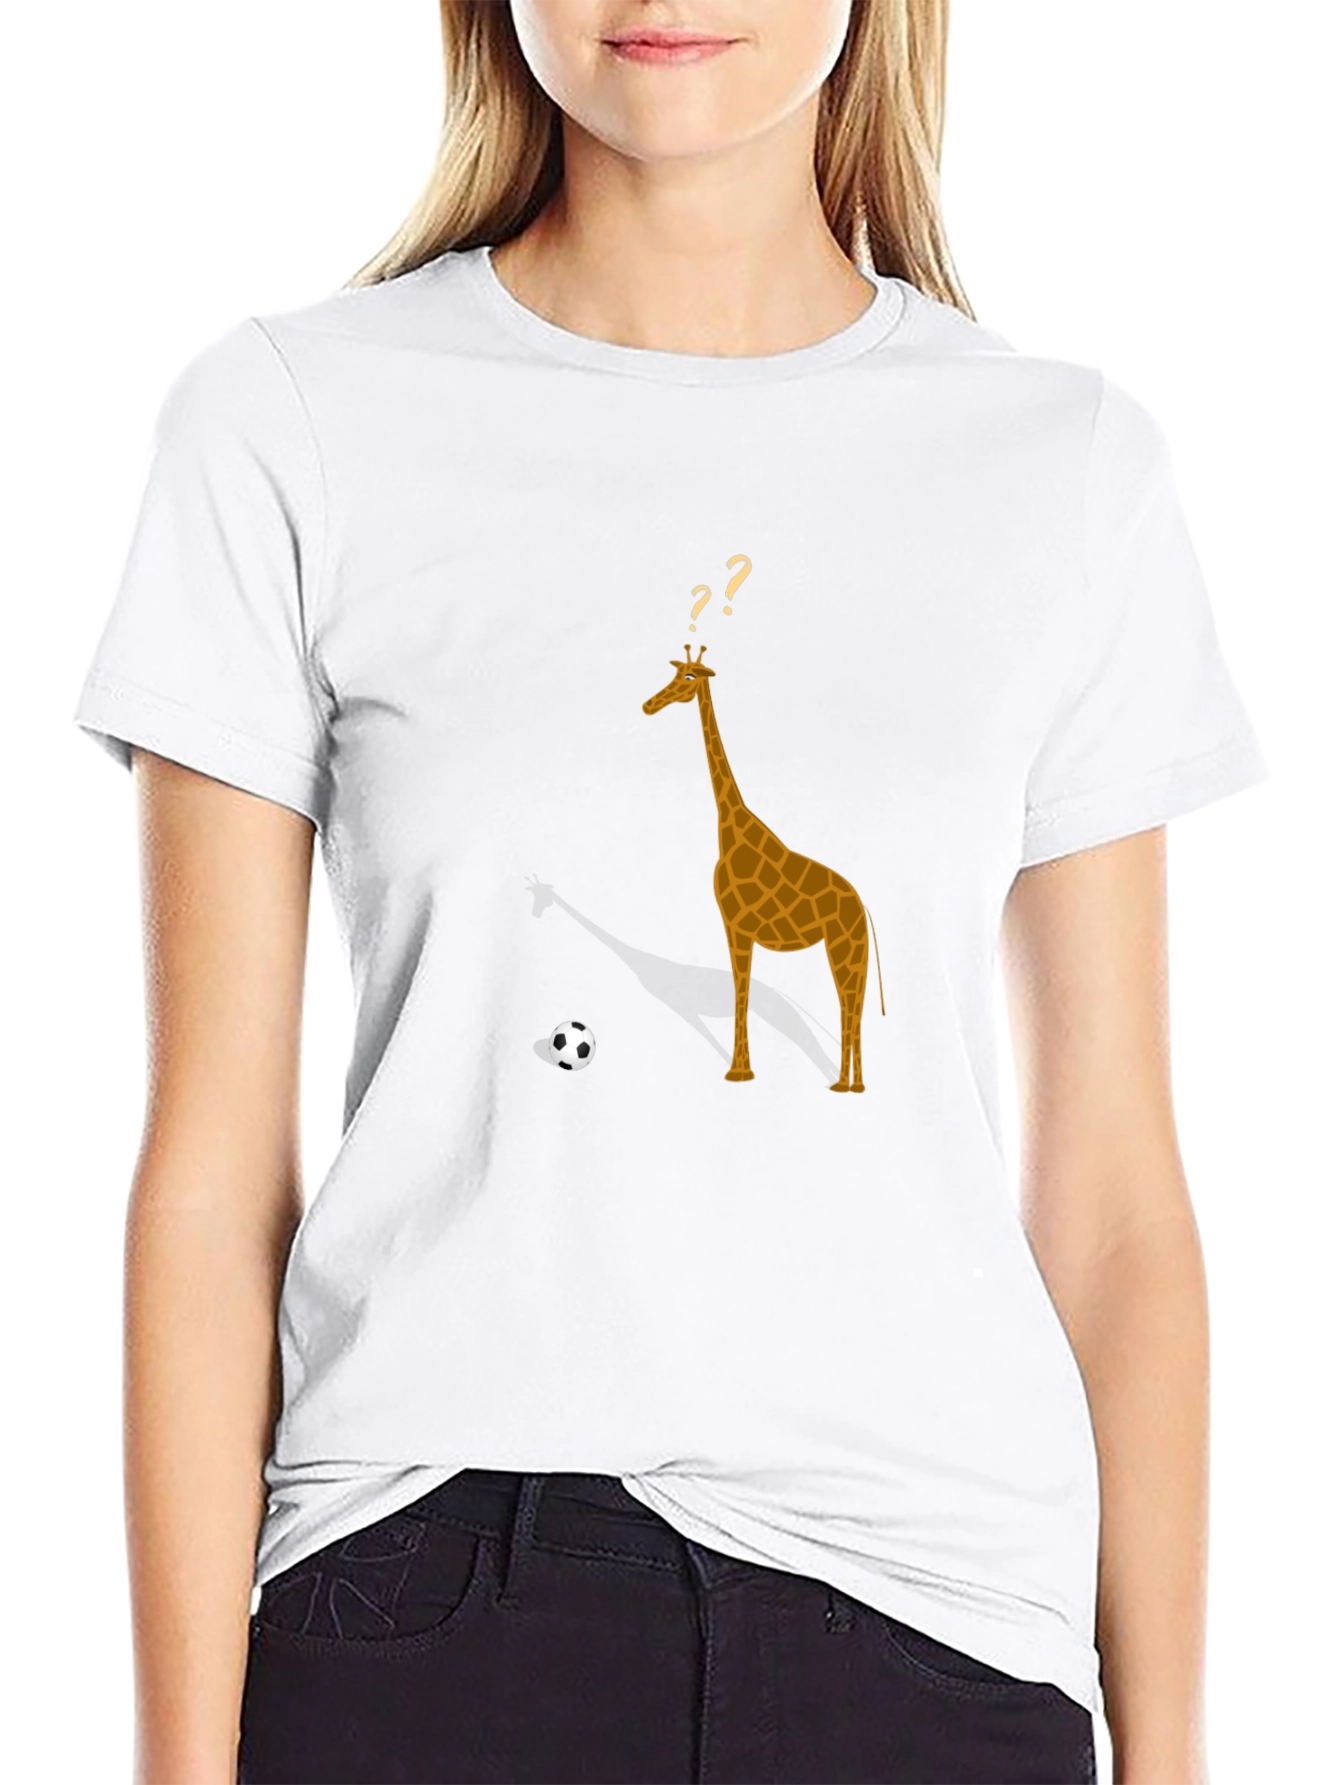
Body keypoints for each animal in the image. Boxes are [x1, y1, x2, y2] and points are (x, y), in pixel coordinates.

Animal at [642, 645, 884, 1092]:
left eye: (688, 678)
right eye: (675, 673)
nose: (649, 705)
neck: (728, 827)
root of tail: (862, 906)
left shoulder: (736, 924)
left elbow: (741, 990)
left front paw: (738, 1072)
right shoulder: (736, 926)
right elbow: (742, 990)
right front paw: (742, 1070)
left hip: (843, 945)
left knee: (849, 1004)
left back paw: (848, 1085)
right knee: (851, 1005)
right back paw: (848, 1084)